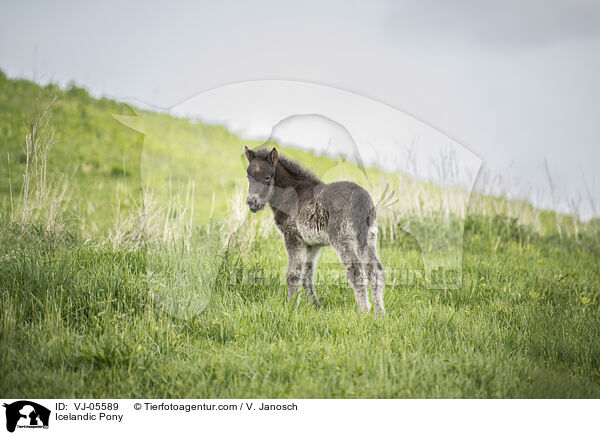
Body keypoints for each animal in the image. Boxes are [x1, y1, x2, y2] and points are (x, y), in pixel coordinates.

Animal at [244, 146, 384, 314]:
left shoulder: (292, 236)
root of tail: (360, 198)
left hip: (342, 238)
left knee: (355, 269)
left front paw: (291, 307)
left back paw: (364, 312)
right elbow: (307, 274)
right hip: (368, 238)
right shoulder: (312, 244)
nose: (252, 202)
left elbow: (293, 274)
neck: (291, 193)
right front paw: (315, 306)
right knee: (374, 269)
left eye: (267, 177)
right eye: (248, 177)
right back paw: (379, 313)